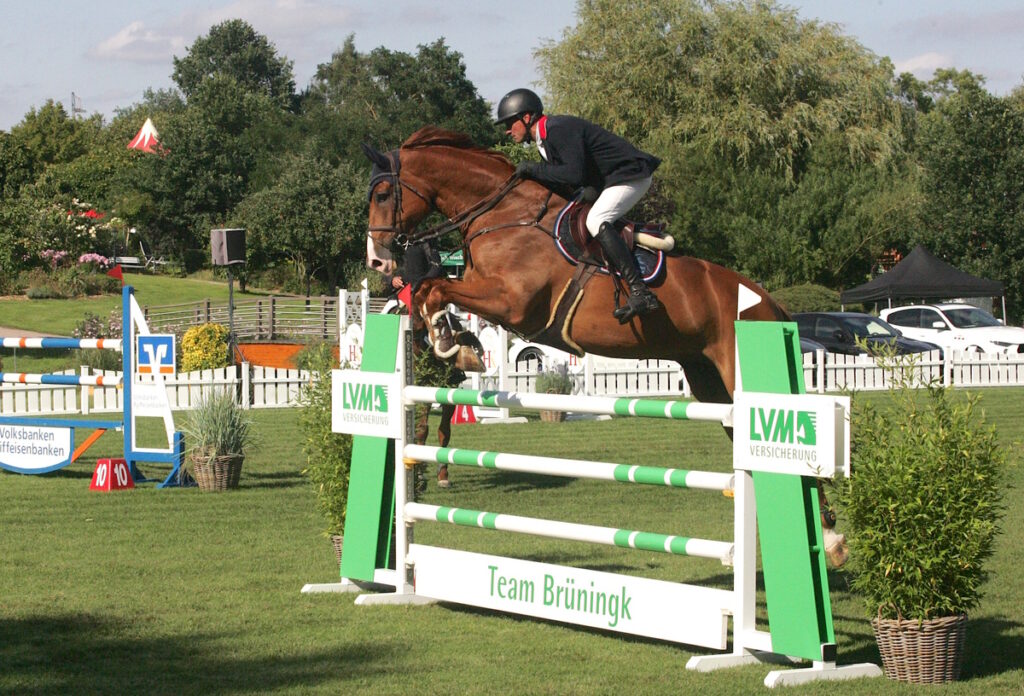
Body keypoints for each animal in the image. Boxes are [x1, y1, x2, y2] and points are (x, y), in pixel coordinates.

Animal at [362, 126, 847, 564]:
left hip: (733, 369)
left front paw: (451, 341)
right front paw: (453, 340)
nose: (377, 260)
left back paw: (831, 540)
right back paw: (820, 534)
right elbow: (430, 289)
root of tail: (769, 302)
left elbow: (436, 288)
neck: (503, 216)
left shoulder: (512, 304)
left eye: (383, 194)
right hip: (709, 380)